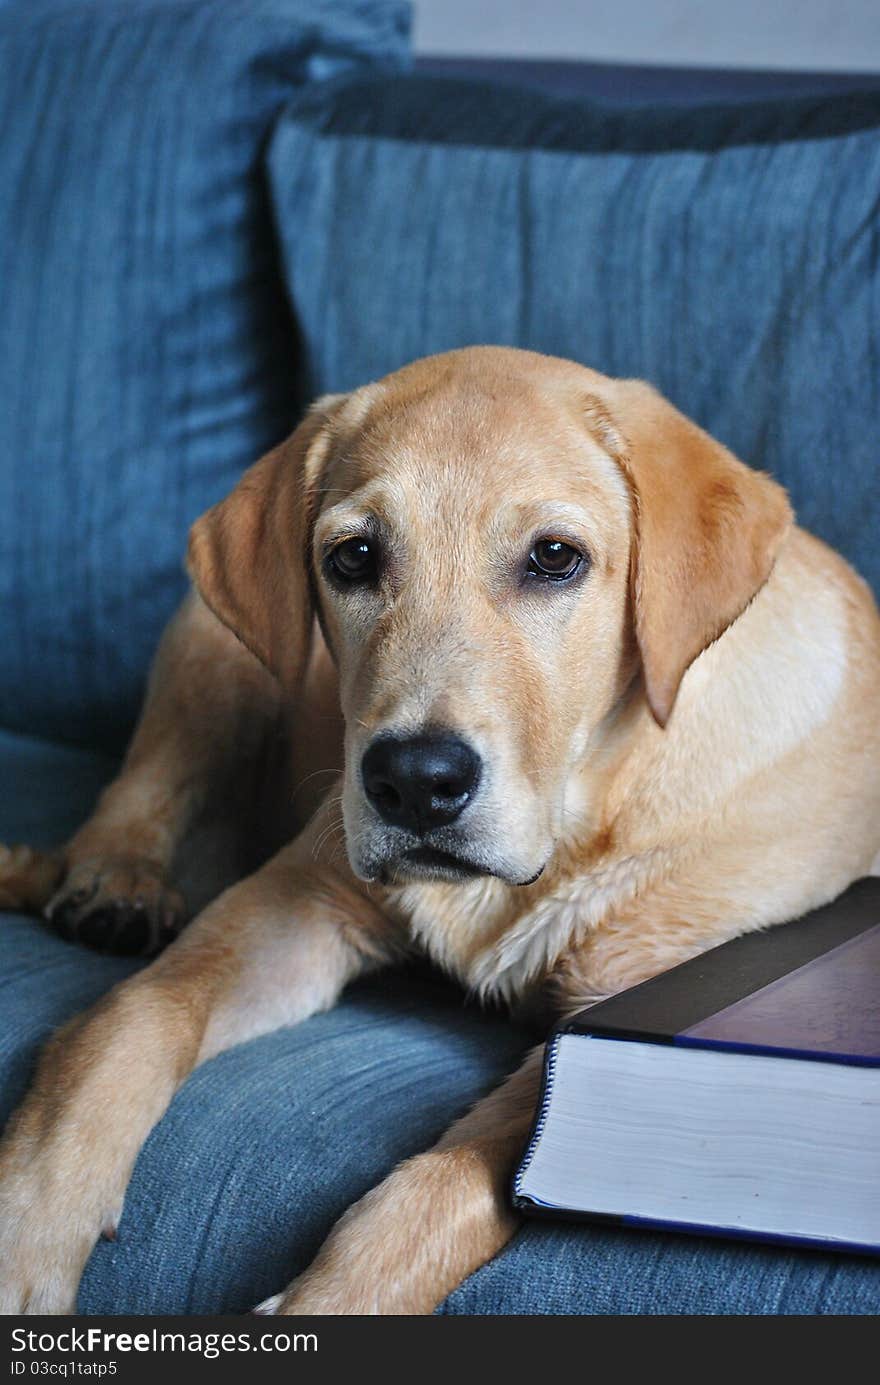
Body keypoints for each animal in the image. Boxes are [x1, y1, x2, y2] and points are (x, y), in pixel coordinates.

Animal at [1, 343, 880, 1307]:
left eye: (555, 557)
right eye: (352, 557)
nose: (415, 783)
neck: (585, 810)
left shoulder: (619, 1011)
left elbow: (449, 1178)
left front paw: (328, 1300)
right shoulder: (296, 901)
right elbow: (130, 1016)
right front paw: (29, 1224)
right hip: (212, 652)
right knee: (143, 787)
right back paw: (115, 883)